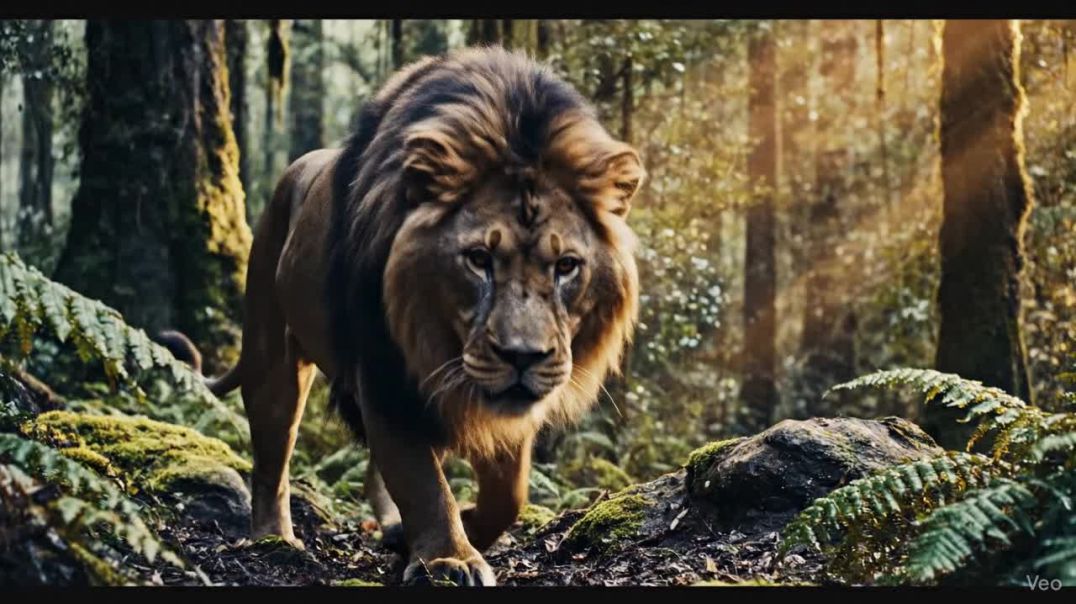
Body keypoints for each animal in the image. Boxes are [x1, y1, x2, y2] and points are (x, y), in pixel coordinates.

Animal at [208, 47, 645, 586]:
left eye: (566, 266)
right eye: (478, 259)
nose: (522, 357)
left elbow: (509, 492)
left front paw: (458, 530)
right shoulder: (383, 374)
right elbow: (422, 481)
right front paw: (448, 559)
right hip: (271, 357)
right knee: (272, 456)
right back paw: (275, 538)